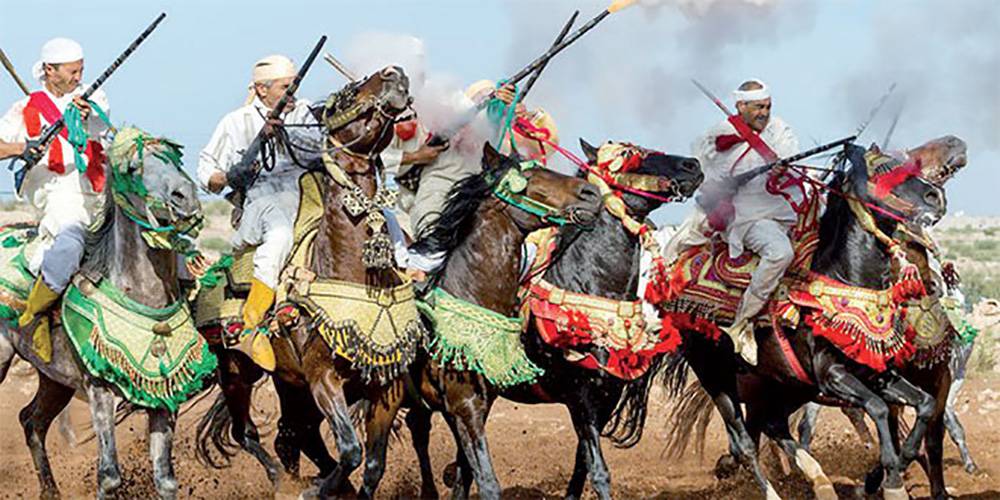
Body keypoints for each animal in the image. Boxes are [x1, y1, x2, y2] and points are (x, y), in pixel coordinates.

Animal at [0, 126, 209, 500]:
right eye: (132, 169)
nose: (184, 197)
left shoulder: (163, 396)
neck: (143, 296)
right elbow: (109, 475)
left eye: (173, 159)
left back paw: (50, 491)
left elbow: (165, 479)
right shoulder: (100, 390)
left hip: (54, 380)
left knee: (31, 421)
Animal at [406, 138, 704, 500]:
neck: (592, 290)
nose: (692, 165)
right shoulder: (580, 398)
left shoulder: (605, 400)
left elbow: (582, 467)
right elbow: (598, 470)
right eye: (631, 155)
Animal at [660, 144, 948, 500]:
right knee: (745, 443)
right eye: (882, 171)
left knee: (772, 427)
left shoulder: (877, 373)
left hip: (781, 386)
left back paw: (820, 482)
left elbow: (924, 405)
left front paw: (896, 465)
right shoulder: (831, 374)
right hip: (718, 380)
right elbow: (879, 408)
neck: (843, 279)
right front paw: (891, 482)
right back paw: (775, 490)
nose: (935, 195)